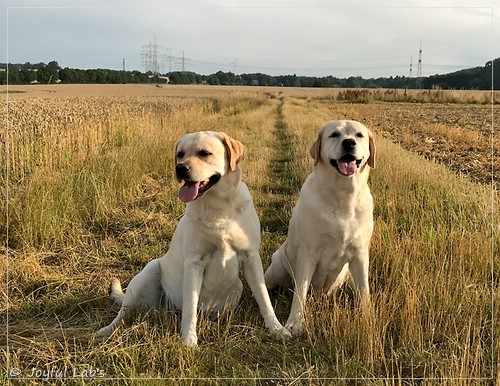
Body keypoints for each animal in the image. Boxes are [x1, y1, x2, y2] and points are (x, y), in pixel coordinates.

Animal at [96, 130, 290, 346]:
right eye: (180, 154)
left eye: (204, 153)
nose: (180, 168)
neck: (218, 207)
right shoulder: (194, 262)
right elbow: (190, 308)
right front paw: (189, 341)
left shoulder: (251, 257)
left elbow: (264, 298)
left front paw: (276, 328)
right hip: (150, 269)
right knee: (124, 312)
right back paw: (106, 330)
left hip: (237, 288)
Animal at [266, 120, 376, 334]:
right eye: (334, 135)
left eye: (359, 135)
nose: (349, 143)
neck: (343, 197)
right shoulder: (308, 254)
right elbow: (300, 291)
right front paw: (295, 322)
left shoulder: (360, 254)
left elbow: (364, 291)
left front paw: (368, 318)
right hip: (277, 266)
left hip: (347, 273)